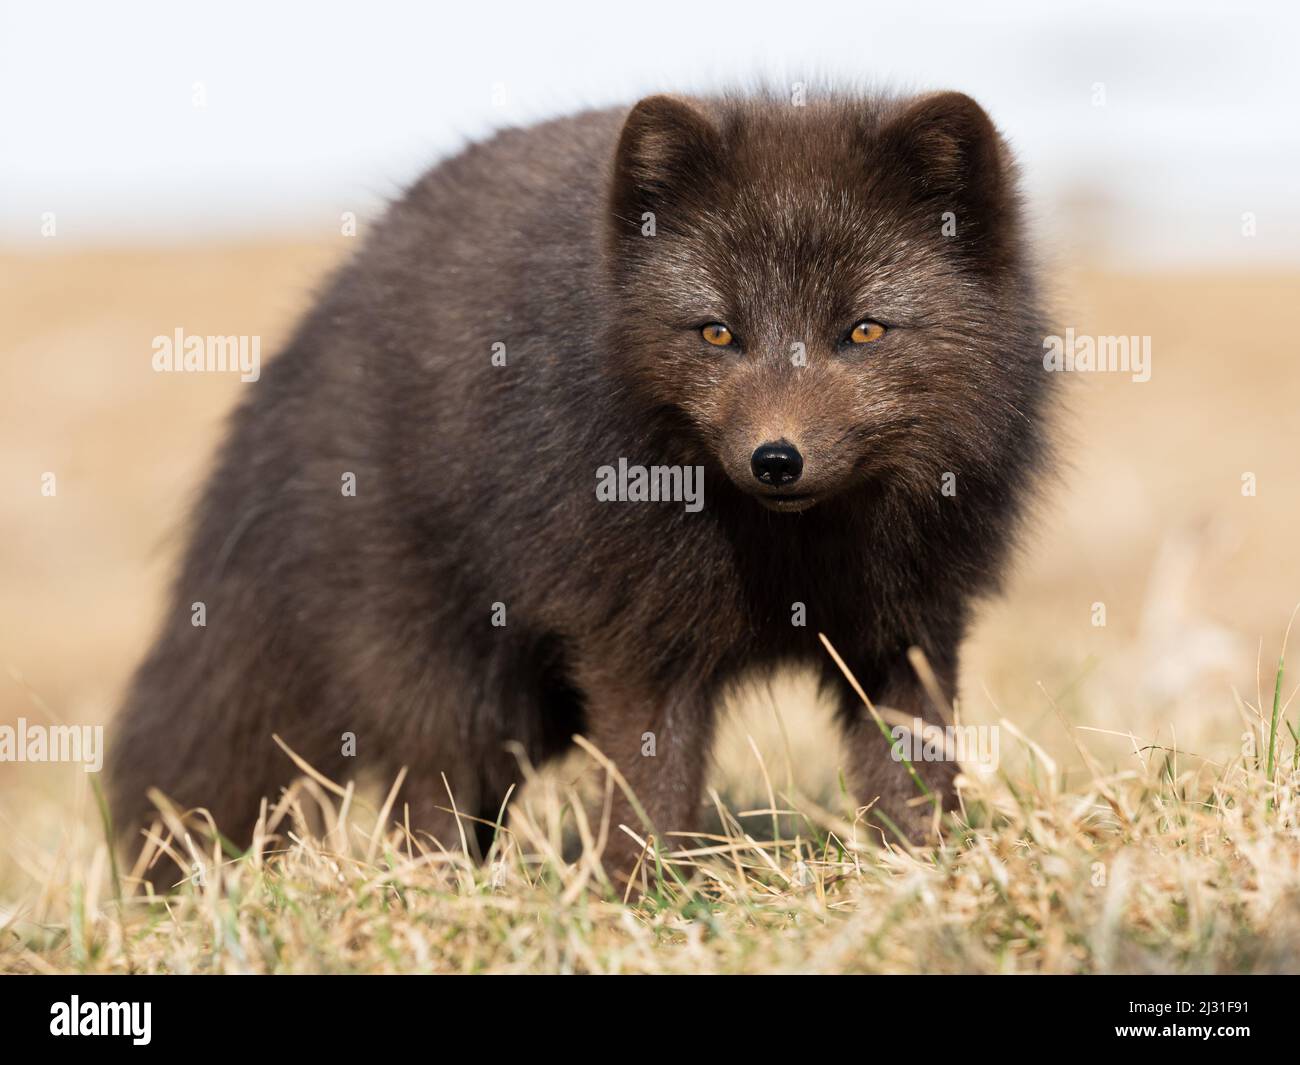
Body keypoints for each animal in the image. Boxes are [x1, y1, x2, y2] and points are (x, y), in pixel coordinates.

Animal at [106, 85, 1050, 884]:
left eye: (863, 330)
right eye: (717, 332)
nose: (776, 459)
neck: (791, 550)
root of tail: (311, 331)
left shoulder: (911, 629)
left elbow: (912, 766)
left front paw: (924, 871)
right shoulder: (634, 636)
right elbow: (649, 782)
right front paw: (641, 896)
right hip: (438, 656)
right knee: (428, 788)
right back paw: (442, 893)